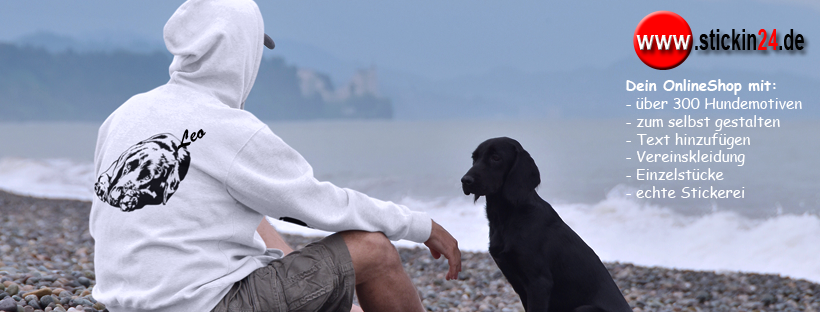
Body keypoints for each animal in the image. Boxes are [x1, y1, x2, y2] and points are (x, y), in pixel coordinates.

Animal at [462, 138, 628, 312]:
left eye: (496, 158)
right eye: (474, 158)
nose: (465, 180)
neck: (508, 217)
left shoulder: (539, 283)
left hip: (585, 308)